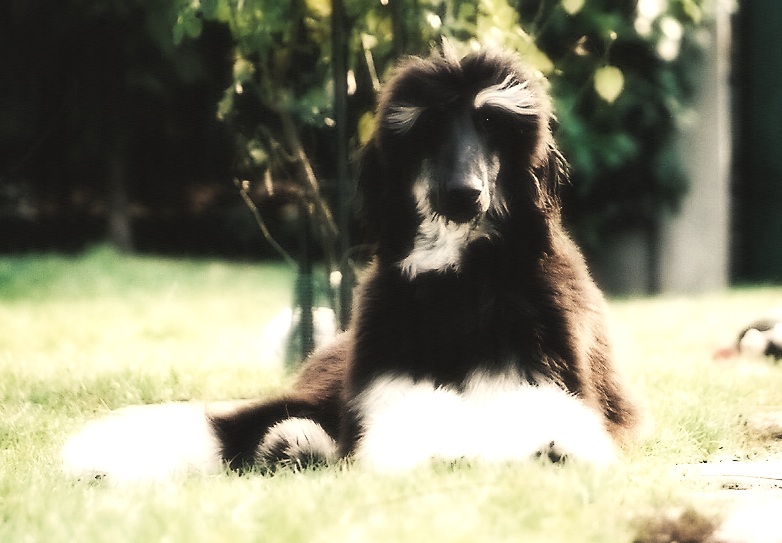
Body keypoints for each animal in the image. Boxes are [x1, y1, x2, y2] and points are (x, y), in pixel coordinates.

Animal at [63, 46, 640, 481]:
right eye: (431, 126)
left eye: (490, 123)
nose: (463, 194)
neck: (459, 279)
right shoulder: (386, 390)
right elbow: (394, 433)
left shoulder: (551, 377)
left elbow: (554, 425)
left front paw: (541, 449)